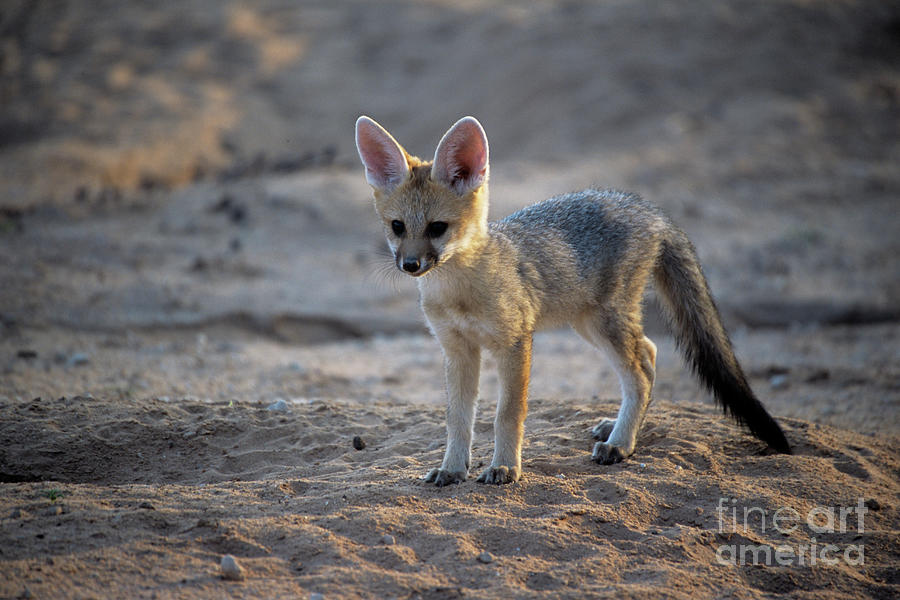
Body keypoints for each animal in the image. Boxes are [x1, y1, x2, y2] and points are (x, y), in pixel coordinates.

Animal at [356, 115, 792, 486]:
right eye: (398, 227)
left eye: (437, 228)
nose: (410, 265)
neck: (459, 293)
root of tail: (645, 207)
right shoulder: (457, 350)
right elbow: (458, 419)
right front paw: (451, 469)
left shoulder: (515, 343)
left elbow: (506, 414)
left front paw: (504, 467)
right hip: (588, 325)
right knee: (650, 352)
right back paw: (618, 428)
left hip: (602, 323)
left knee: (641, 369)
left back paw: (620, 444)